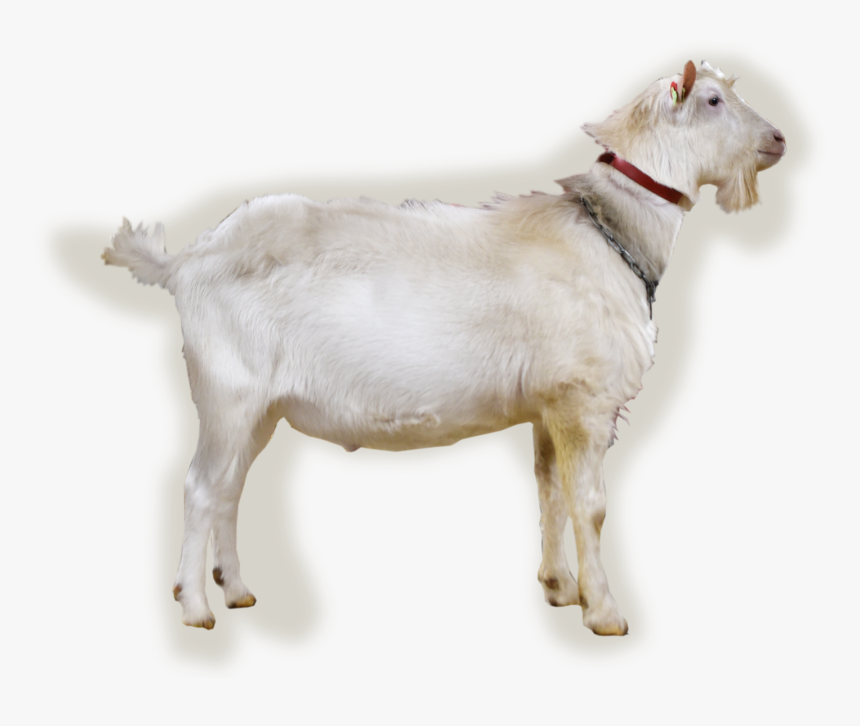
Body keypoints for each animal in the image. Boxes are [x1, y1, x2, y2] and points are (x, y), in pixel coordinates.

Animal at [103, 61, 785, 635]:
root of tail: (188, 259)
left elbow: (549, 491)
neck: (611, 233)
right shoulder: (583, 398)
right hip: (229, 390)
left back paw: (237, 590)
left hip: (257, 408)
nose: (779, 139)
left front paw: (559, 588)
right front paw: (605, 612)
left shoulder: (547, 403)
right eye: (713, 99)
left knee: (230, 487)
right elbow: (589, 505)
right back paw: (196, 607)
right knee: (200, 488)